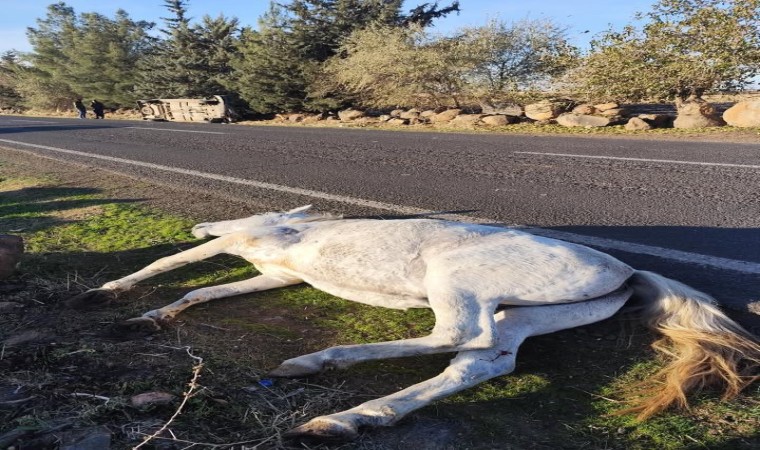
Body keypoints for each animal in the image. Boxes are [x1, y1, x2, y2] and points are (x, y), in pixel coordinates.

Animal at [68, 206, 760, 441]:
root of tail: (625, 269)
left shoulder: (249, 242)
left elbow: (177, 261)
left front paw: (107, 297)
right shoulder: (279, 275)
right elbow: (207, 289)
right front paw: (148, 318)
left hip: (455, 280)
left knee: (460, 336)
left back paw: (316, 366)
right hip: (523, 315)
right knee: (484, 359)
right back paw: (343, 421)